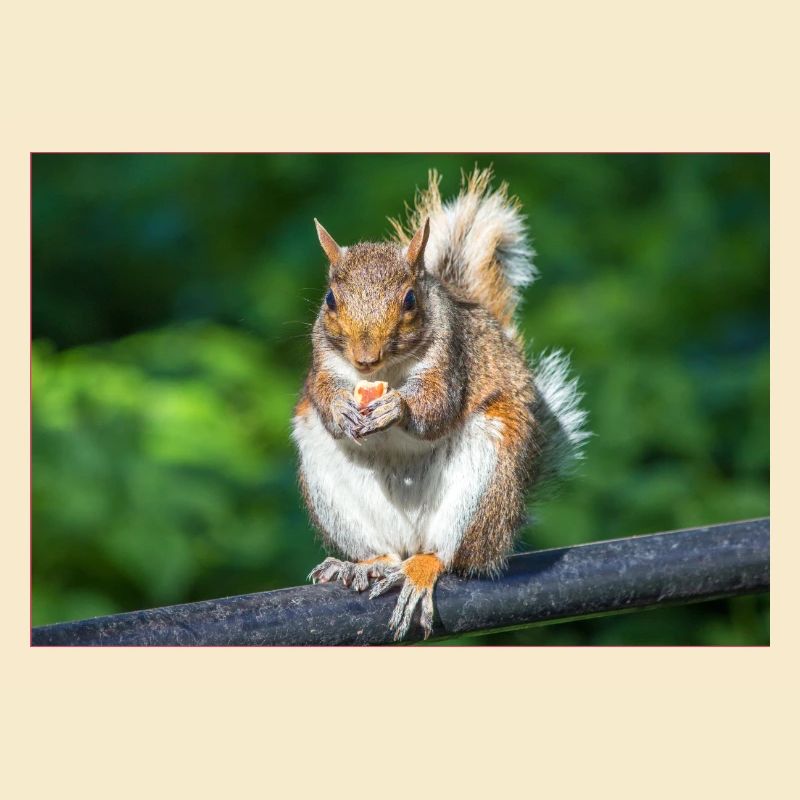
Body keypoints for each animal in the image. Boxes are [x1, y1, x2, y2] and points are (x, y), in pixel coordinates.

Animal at [292, 167, 588, 640]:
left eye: (410, 299)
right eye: (330, 299)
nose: (364, 358)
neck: (387, 372)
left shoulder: (452, 357)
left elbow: (436, 406)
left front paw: (398, 409)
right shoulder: (323, 360)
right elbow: (322, 394)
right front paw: (340, 409)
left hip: (485, 479)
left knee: (450, 556)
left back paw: (421, 570)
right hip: (328, 479)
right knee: (385, 550)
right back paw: (366, 564)